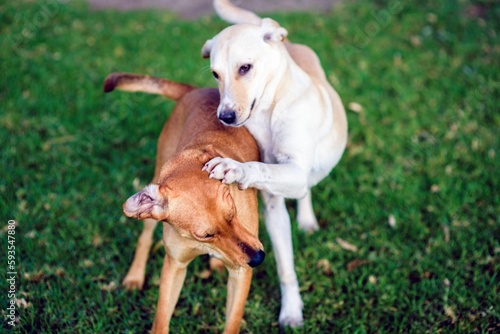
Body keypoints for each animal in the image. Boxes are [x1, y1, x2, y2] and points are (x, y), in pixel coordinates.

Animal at [103, 72, 264, 332]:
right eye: (206, 235)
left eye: (233, 212)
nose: (258, 258)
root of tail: (195, 91)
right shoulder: (174, 266)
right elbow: (160, 320)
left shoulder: (241, 273)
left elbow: (232, 322)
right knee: (145, 237)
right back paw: (135, 276)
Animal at [201, 0, 346, 328]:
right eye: (215, 74)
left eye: (245, 67)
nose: (225, 116)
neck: (268, 111)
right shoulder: (273, 207)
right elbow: (285, 268)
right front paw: (291, 309)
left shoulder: (293, 172)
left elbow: (262, 168)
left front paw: (234, 168)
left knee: (307, 189)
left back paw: (306, 219)